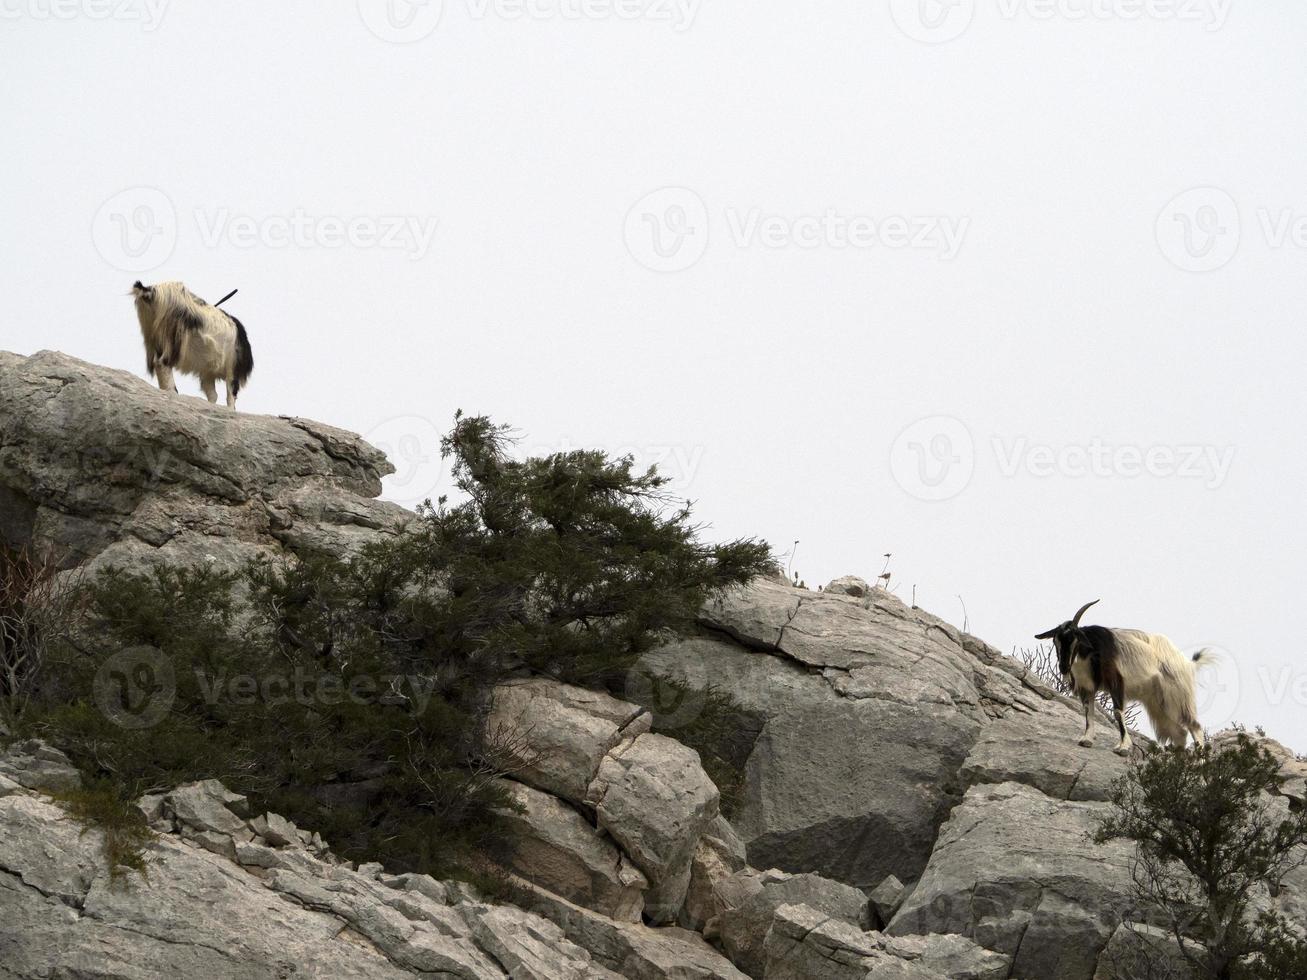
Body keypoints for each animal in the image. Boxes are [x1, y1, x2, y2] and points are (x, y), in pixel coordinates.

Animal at [131, 279, 253, 410]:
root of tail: (150, 292)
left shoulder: (209, 371)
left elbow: (214, 394)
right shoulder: (232, 366)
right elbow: (230, 395)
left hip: (156, 339)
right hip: (171, 340)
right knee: (162, 363)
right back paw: (172, 392)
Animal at [1035, 603, 1218, 757]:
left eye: (1076, 639)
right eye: (1055, 641)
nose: (1064, 667)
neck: (1091, 652)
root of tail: (1188, 663)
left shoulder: (1116, 682)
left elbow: (1117, 712)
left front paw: (1123, 747)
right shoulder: (1087, 687)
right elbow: (1088, 710)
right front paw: (1086, 739)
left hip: (1178, 695)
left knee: (1194, 726)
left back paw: (1200, 762)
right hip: (1159, 703)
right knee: (1179, 732)